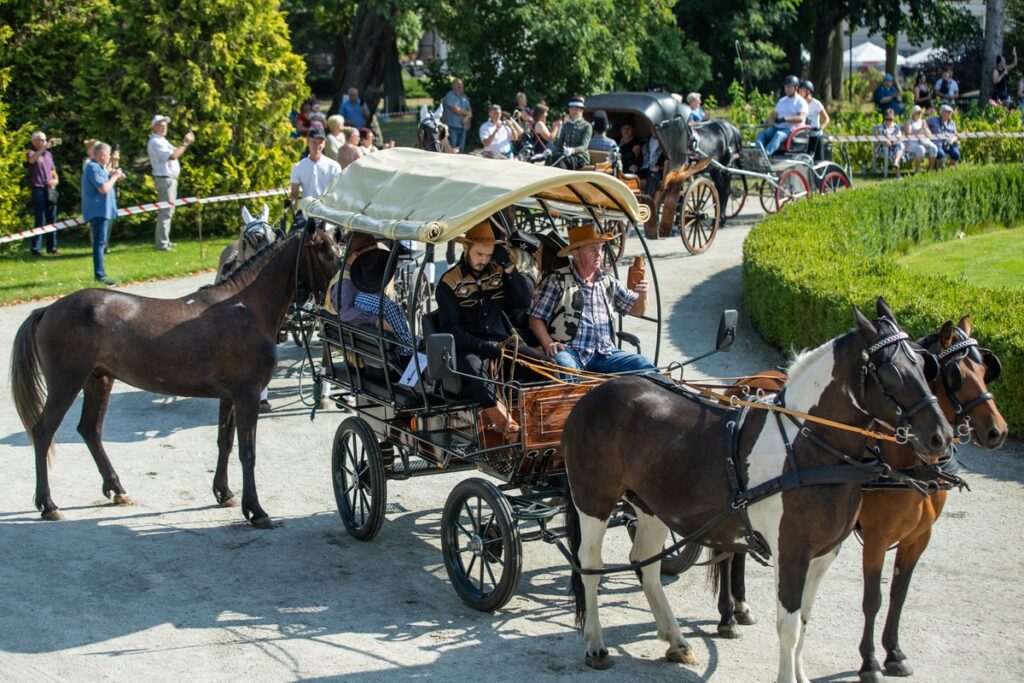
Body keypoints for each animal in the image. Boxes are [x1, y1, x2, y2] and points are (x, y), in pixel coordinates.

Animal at [11, 222, 339, 528]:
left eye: (337, 244)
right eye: (324, 250)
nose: (338, 290)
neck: (247, 308)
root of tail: (48, 309)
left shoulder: (230, 397)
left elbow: (225, 443)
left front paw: (224, 493)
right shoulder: (247, 394)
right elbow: (248, 451)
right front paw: (256, 510)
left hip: (98, 380)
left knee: (90, 430)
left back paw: (117, 489)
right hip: (66, 383)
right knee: (43, 432)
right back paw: (48, 504)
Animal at [561, 301, 950, 683]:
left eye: (923, 365)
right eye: (893, 372)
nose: (940, 436)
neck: (807, 448)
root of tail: (594, 393)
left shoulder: (824, 554)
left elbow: (804, 620)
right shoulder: (791, 551)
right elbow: (789, 626)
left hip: (651, 505)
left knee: (646, 564)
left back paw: (676, 640)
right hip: (594, 500)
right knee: (590, 564)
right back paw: (596, 645)